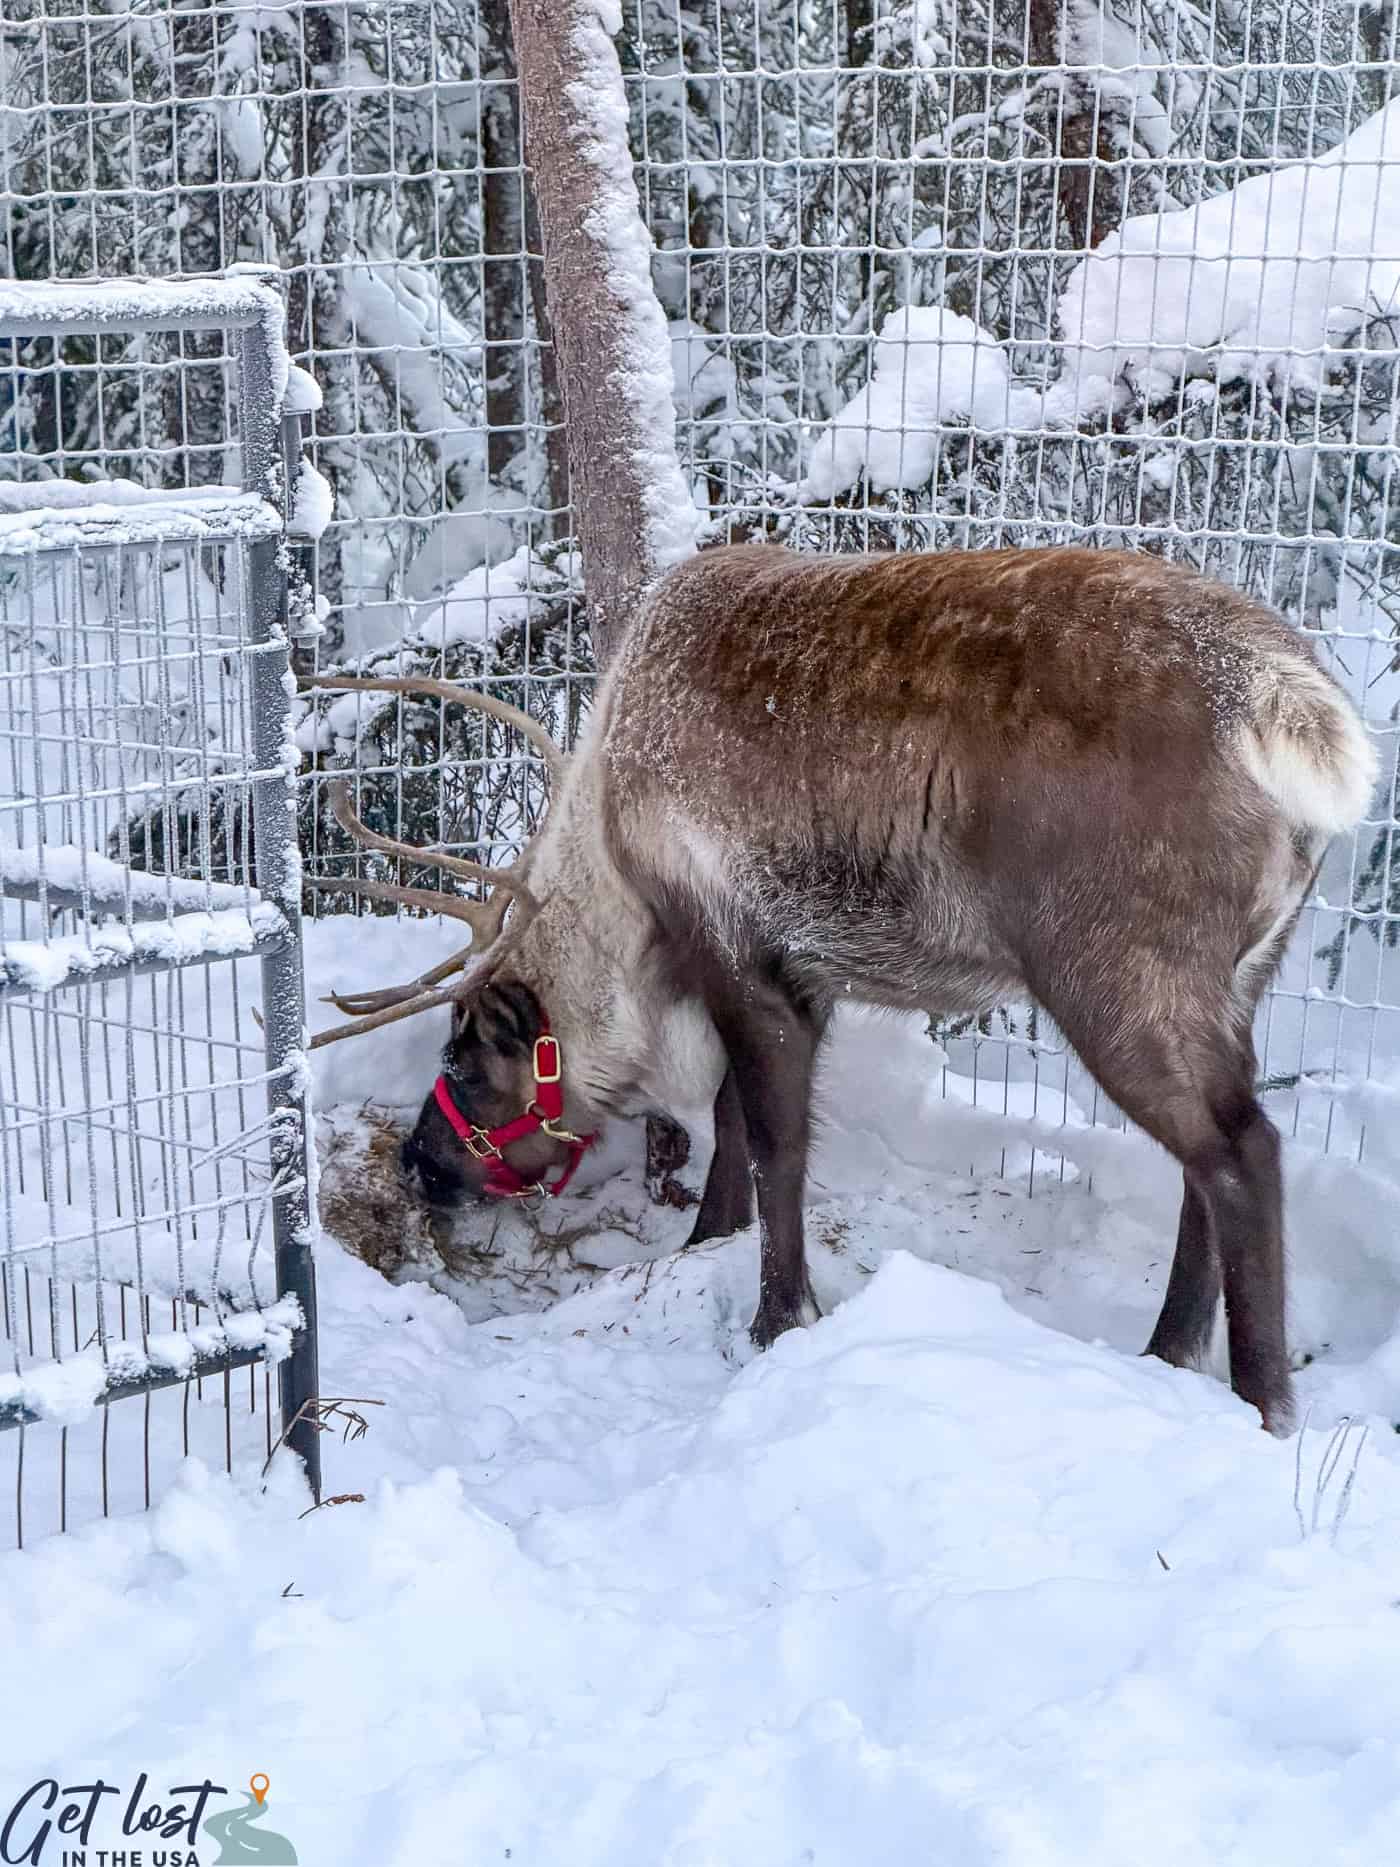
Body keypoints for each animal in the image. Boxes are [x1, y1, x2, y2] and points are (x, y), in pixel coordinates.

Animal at [304, 543, 1377, 1434]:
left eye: (464, 1063)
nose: (418, 1162)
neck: (629, 909)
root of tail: (1296, 714)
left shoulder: (744, 954)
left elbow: (774, 1140)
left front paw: (778, 1317)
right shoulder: (793, 974)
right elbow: (734, 1120)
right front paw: (706, 1241)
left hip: (1118, 975)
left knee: (1242, 1149)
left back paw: (1262, 1405)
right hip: (1247, 974)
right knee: (1210, 1152)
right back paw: (1165, 1356)